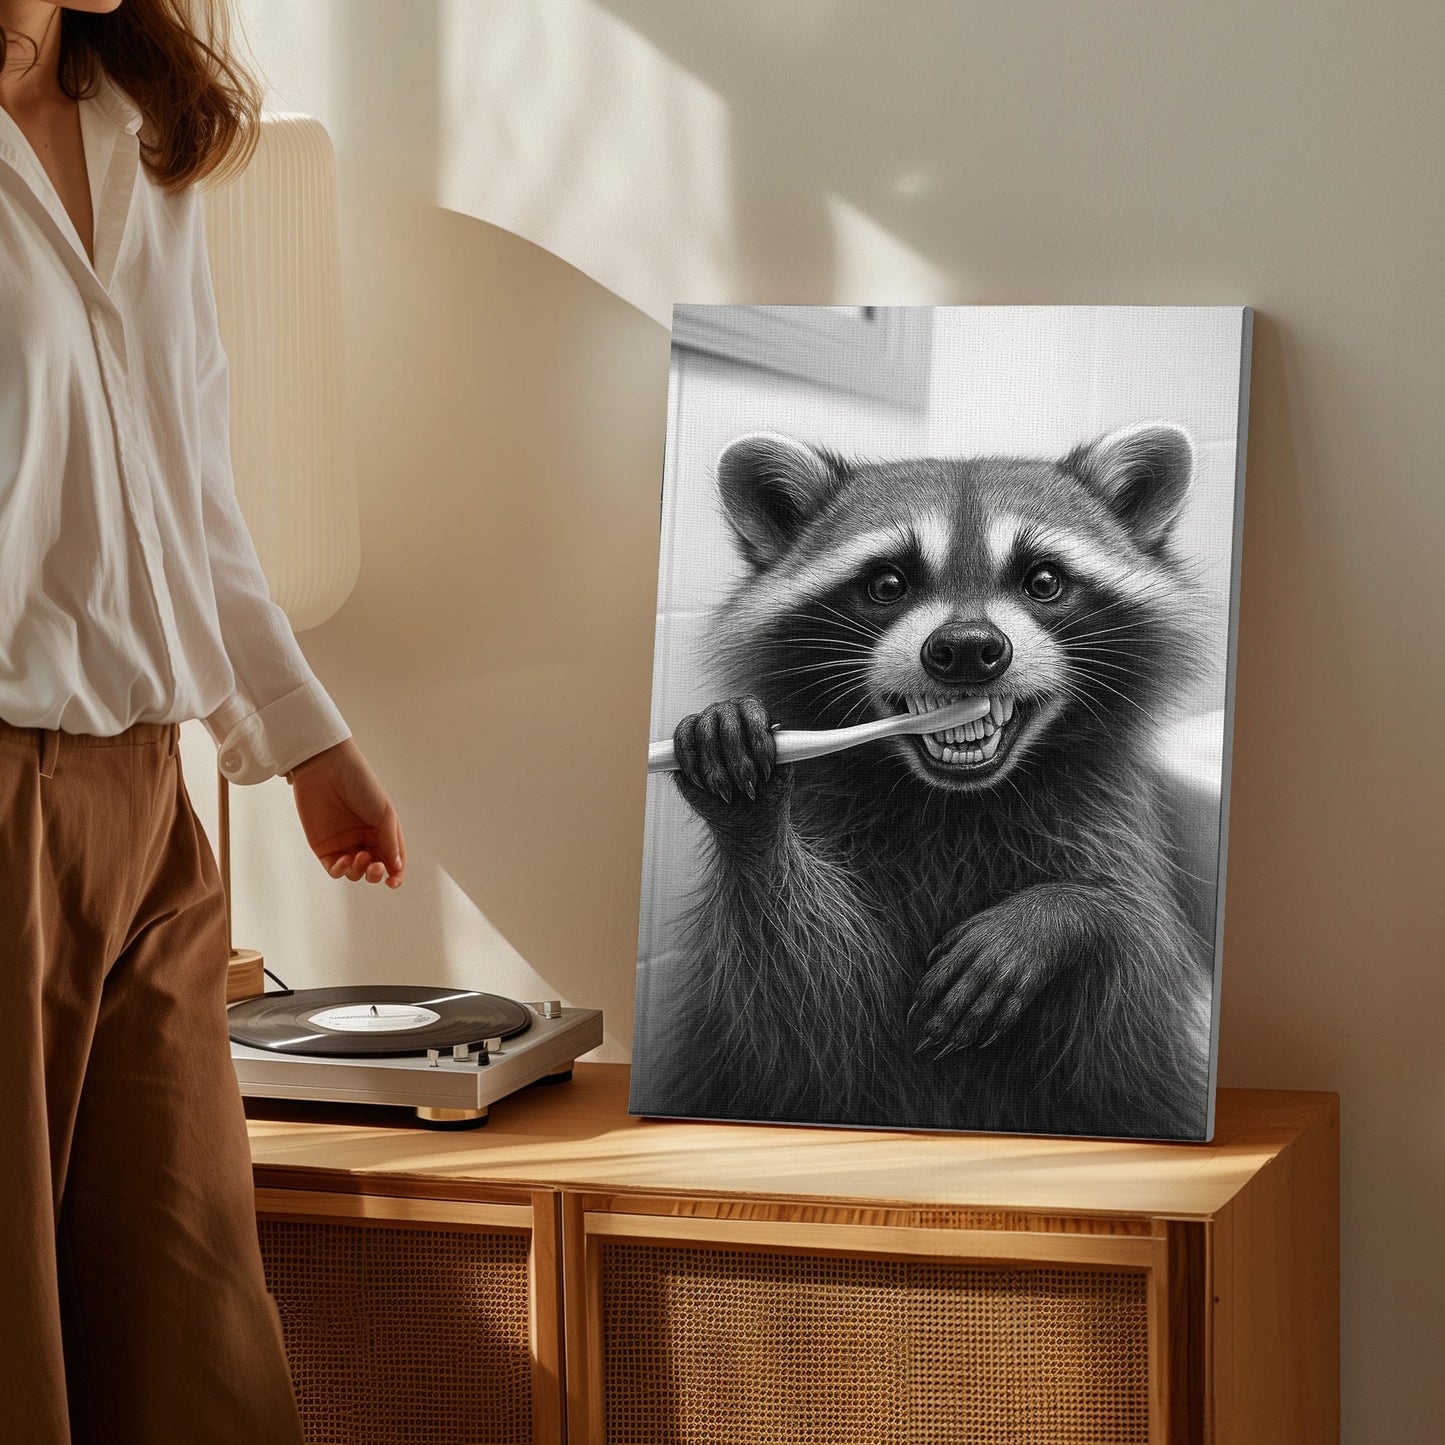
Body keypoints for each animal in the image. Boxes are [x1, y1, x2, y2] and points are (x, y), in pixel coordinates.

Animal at [638, 424, 1215, 1139]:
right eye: (888, 583)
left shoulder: (1111, 821)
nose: (967, 648)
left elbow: (1136, 992)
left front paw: (1067, 914)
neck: (954, 801)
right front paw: (750, 820)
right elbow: (805, 1009)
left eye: (1044, 580)